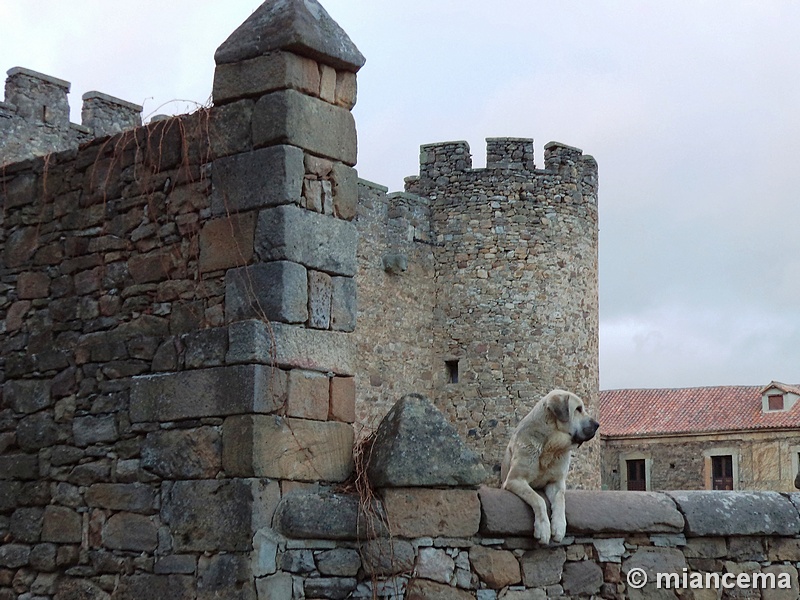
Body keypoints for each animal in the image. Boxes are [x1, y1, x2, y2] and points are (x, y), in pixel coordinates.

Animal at [504, 390, 596, 544]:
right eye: (578, 409)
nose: (597, 425)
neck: (552, 445)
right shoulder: (514, 480)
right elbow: (538, 499)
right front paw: (543, 529)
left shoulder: (556, 483)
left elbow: (560, 499)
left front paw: (559, 526)